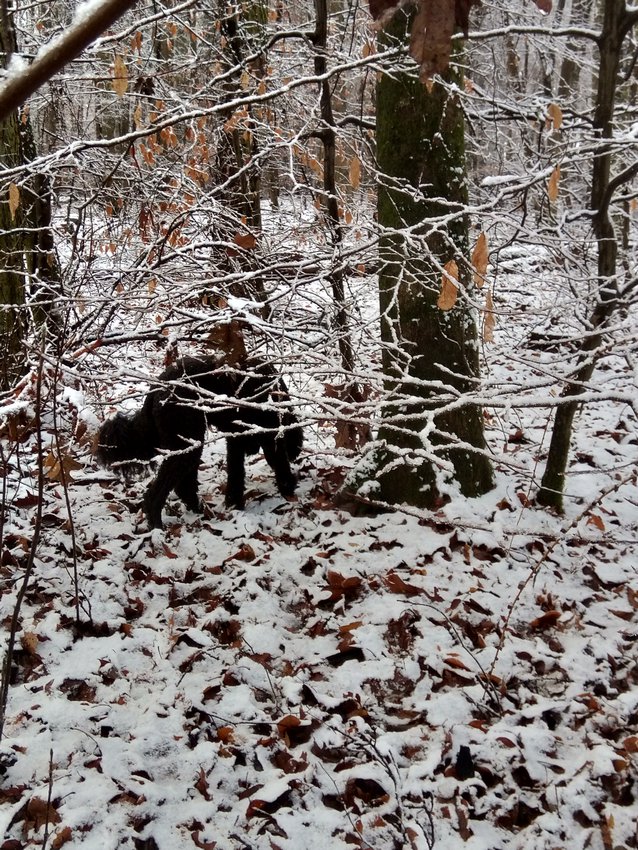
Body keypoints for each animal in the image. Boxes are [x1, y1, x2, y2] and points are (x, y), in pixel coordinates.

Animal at [96, 352, 304, 524]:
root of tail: (156, 390)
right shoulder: (269, 434)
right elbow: (279, 462)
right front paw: (289, 488)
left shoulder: (235, 441)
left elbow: (236, 474)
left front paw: (234, 504)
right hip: (186, 442)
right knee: (159, 494)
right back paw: (157, 526)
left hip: (188, 443)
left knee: (184, 487)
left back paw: (199, 511)